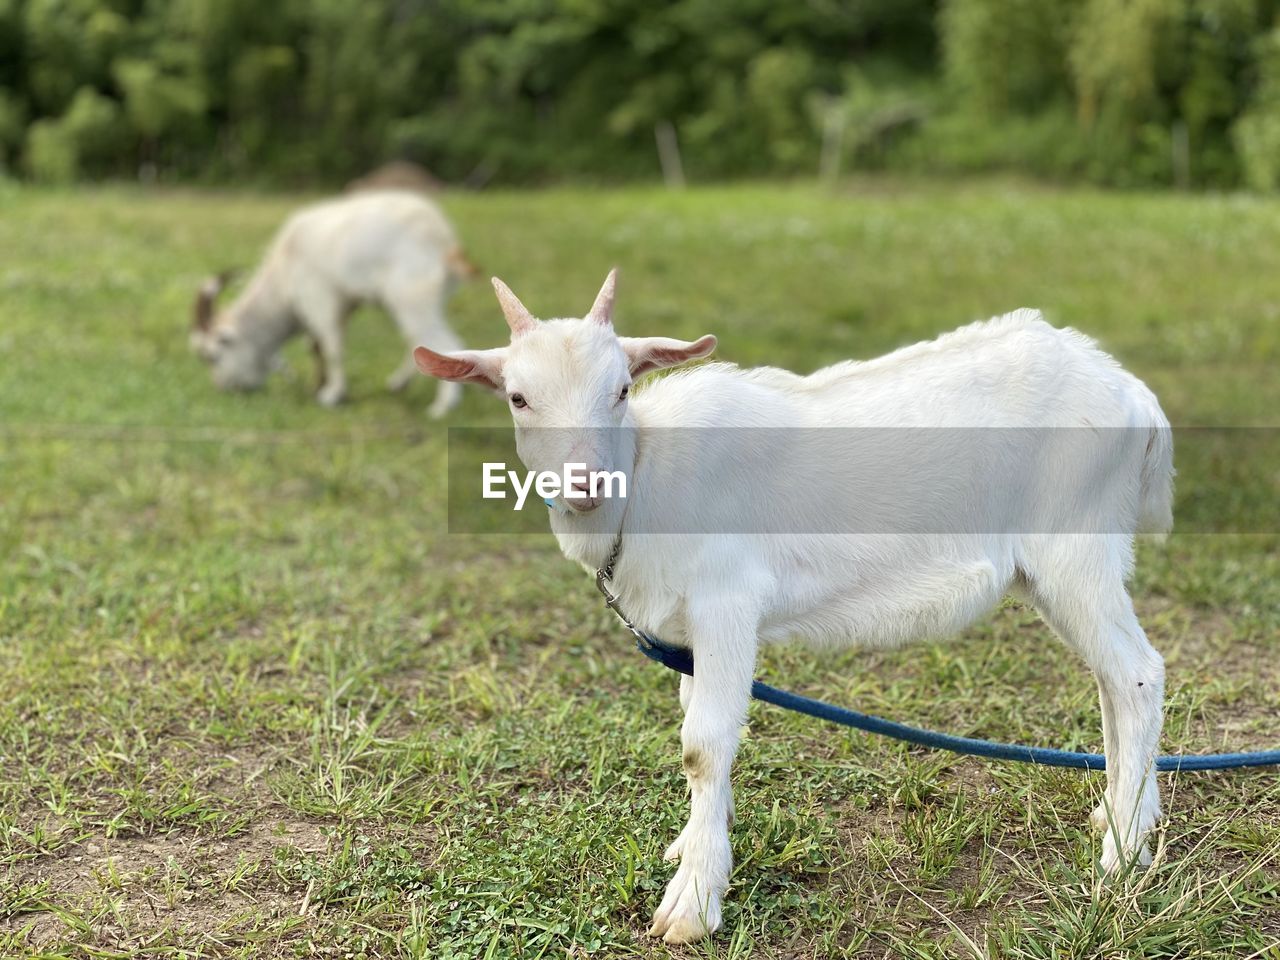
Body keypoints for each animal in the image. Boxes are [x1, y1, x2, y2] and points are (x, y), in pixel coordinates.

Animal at [186, 190, 473, 417]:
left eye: (212, 356)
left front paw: (332, 395)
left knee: (442, 340)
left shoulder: (320, 298)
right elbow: (316, 346)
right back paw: (397, 384)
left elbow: (332, 346)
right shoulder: (340, 306)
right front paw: (319, 385)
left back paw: (442, 407)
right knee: (418, 340)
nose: (226, 390)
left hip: (412, 297)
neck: (284, 270)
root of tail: (446, 241)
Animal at [414, 272, 1172, 947]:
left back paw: (1123, 855)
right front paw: (692, 845)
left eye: (622, 389)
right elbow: (694, 728)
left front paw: (693, 903)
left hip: (1075, 547)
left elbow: (703, 744)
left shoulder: (726, 602)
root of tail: (1132, 394)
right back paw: (1118, 814)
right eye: (518, 398)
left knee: (1137, 675)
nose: (584, 484)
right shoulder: (688, 632)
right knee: (1109, 681)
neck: (647, 479)